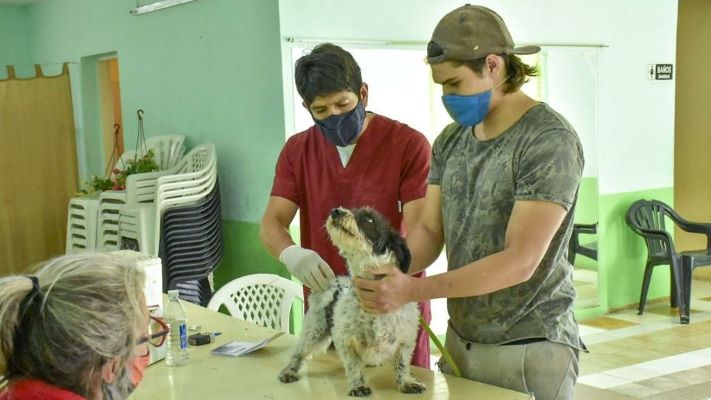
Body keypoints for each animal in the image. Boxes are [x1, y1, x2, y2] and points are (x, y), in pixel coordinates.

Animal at [276, 208, 422, 396]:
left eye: (369, 219)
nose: (336, 211)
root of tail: (333, 282)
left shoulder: (405, 341)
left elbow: (402, 366)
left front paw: (407, 382)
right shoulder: (346, 341)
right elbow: (354, 366)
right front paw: (357, 386)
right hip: (314, 330)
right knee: (299, 352)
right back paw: (289, 371)